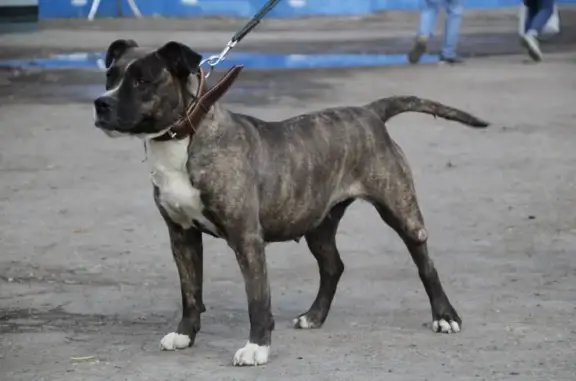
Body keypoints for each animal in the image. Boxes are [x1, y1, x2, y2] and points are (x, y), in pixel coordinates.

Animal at [94, 38, 490, 366]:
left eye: (143, 81)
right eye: (110, 75)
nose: (101, 103)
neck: (183, 137)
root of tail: (370, 112)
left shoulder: (247, 240)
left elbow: (257, 299)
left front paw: (256, 347)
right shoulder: (182, 236)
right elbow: (190, 291)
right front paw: (184, 334)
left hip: (400, 210)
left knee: (425, 262)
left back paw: (445, 316)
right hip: (318, 223)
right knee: (333, 266)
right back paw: (314, 316)